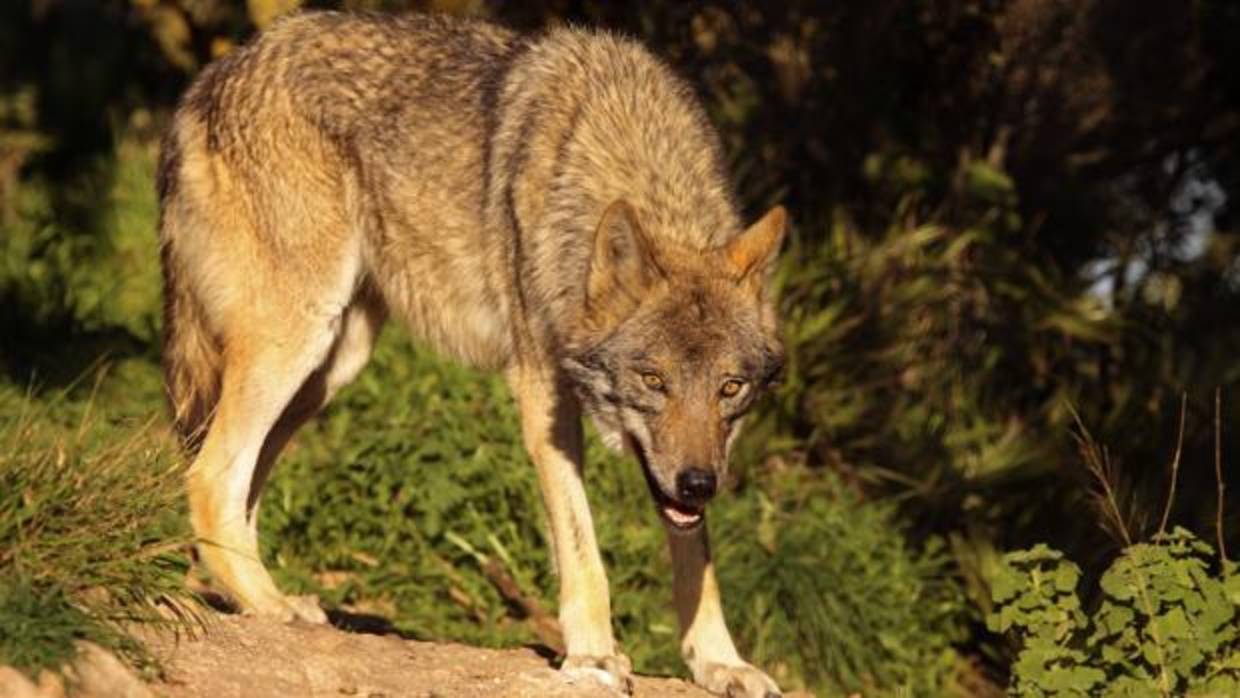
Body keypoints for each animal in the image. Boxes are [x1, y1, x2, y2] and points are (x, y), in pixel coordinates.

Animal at [157, 8, 783, 694]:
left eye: (730, 388)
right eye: (652, 379)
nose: (699, 483)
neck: (626, 158)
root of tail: (214, 75)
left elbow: (698, 557)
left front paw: (720, 661)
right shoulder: (541, 393)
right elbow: (581, 543)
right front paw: (592, 653)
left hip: (330, 367)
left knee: (242, 485)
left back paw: (263, 599)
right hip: (295, 339)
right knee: (209, 477)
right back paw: (269, 606)